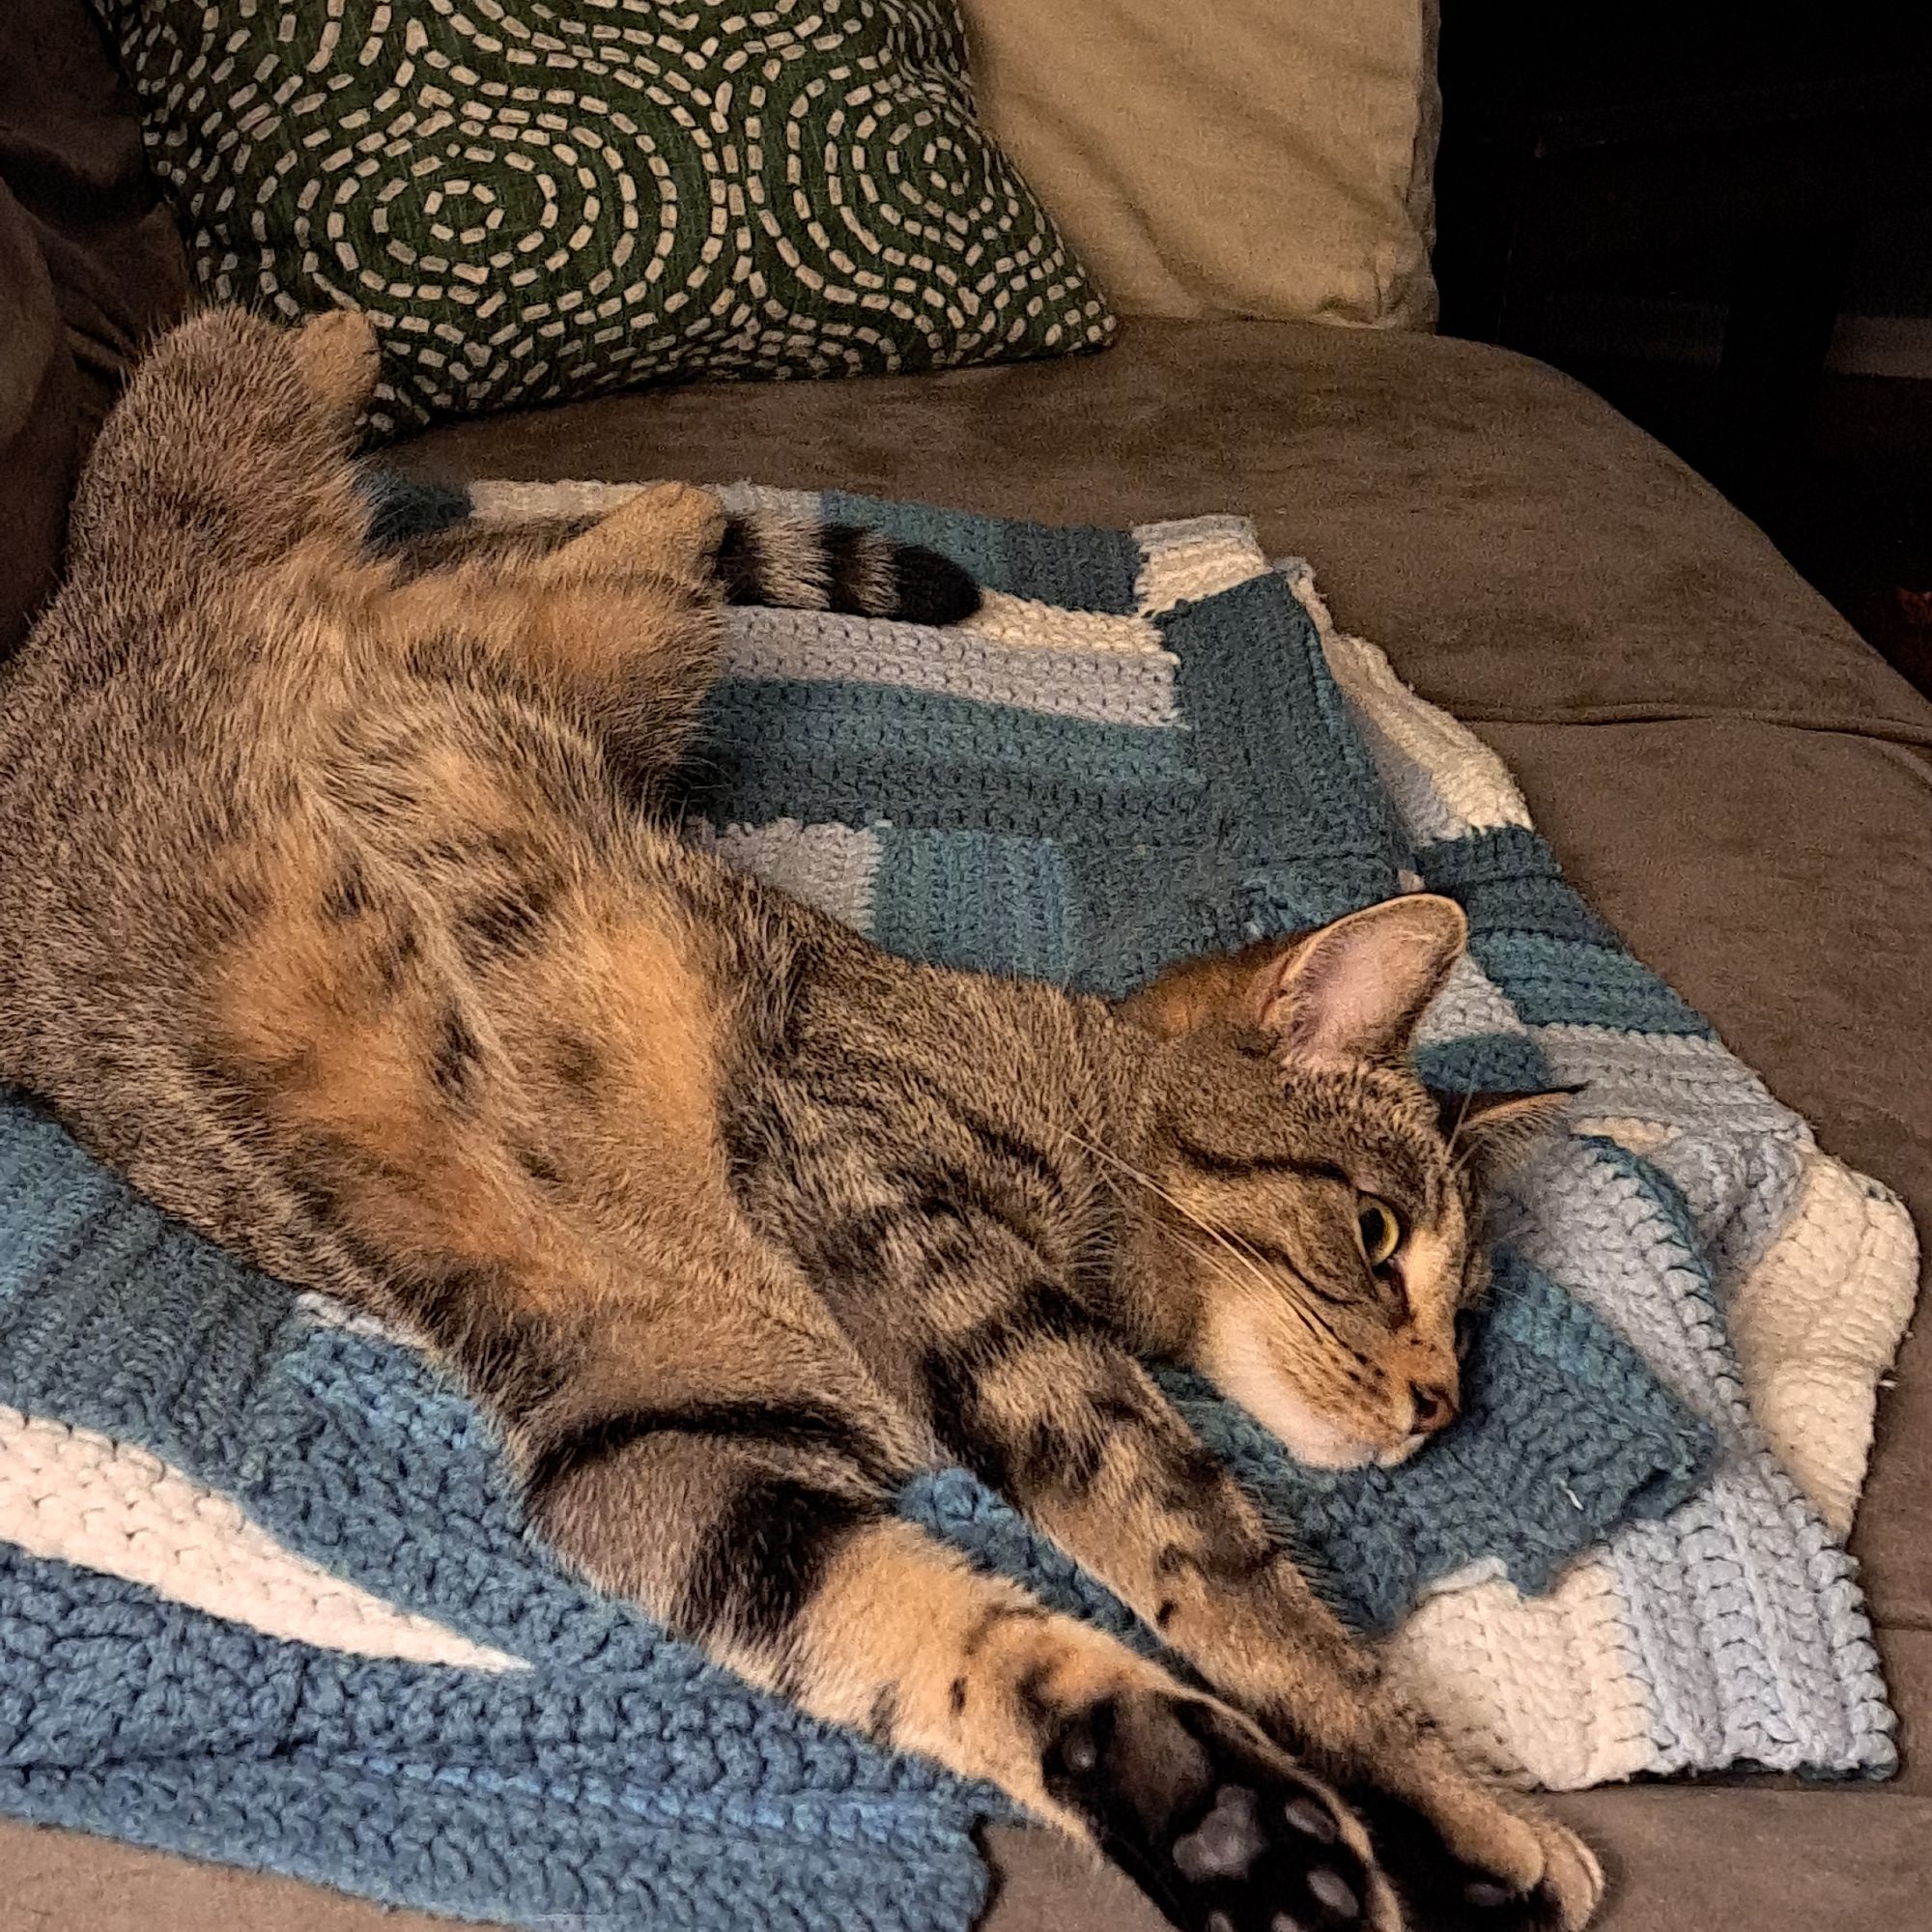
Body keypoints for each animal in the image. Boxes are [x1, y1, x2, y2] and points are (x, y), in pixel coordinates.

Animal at [0, 309, 1600, 1932]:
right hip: (245, 465)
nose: (1440, 1401)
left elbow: (929, 1635)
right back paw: (343, 342)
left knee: (638, 528)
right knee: (260, 371)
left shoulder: (662, 1440)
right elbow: (1196, 1545)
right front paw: (1455, 1798)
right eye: (1377, 1235)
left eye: (1470, 1314)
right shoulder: (895, 1223)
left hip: (633, 640)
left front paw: (1208, 1809)